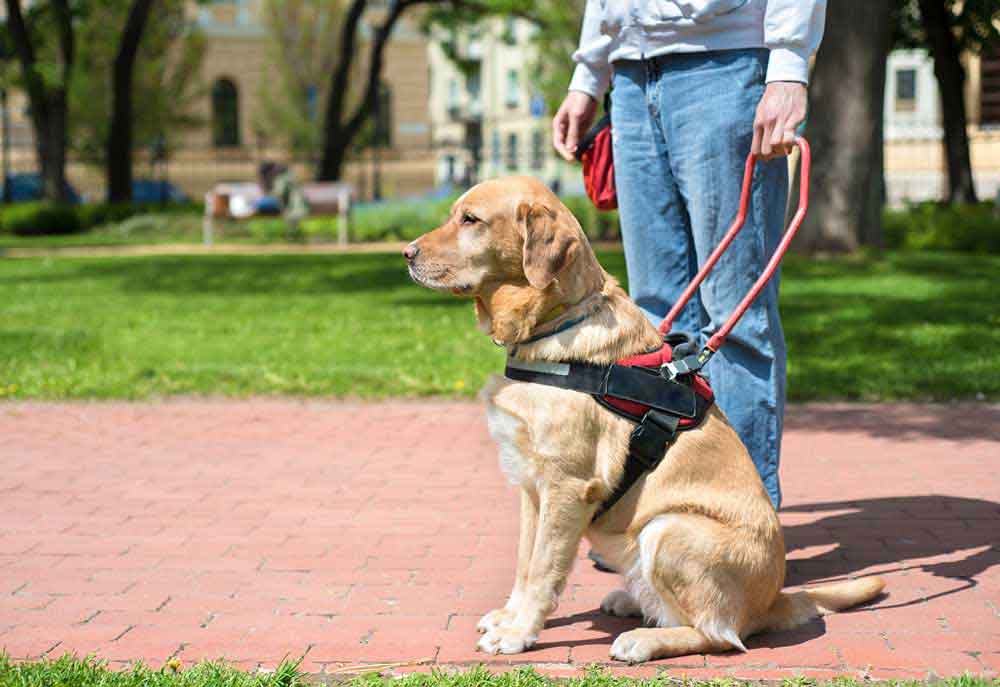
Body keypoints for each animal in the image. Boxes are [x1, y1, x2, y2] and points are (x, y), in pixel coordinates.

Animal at [404, 175, 884, 664]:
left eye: (470, 219)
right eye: (454, 214)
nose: (407, 253)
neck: (556, 326)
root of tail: (772, 600)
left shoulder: (567, 486)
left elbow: (541, 570)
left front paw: (519, 633)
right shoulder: (532, 487)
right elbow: (524, 563)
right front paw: (509, 617)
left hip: (668, 528)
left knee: (720, 634)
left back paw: (645, 639)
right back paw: (633, 602)